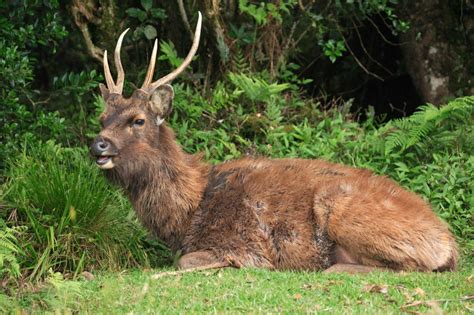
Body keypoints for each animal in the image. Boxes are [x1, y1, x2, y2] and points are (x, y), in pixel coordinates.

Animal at [90, 12, 460, 274]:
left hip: (341, 206)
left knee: (409, 267)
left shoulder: (243, 243)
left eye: (138, 120)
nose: (99, 145)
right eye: (102, 118)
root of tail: (450, 243)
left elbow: (185, 261)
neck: (188, 210)